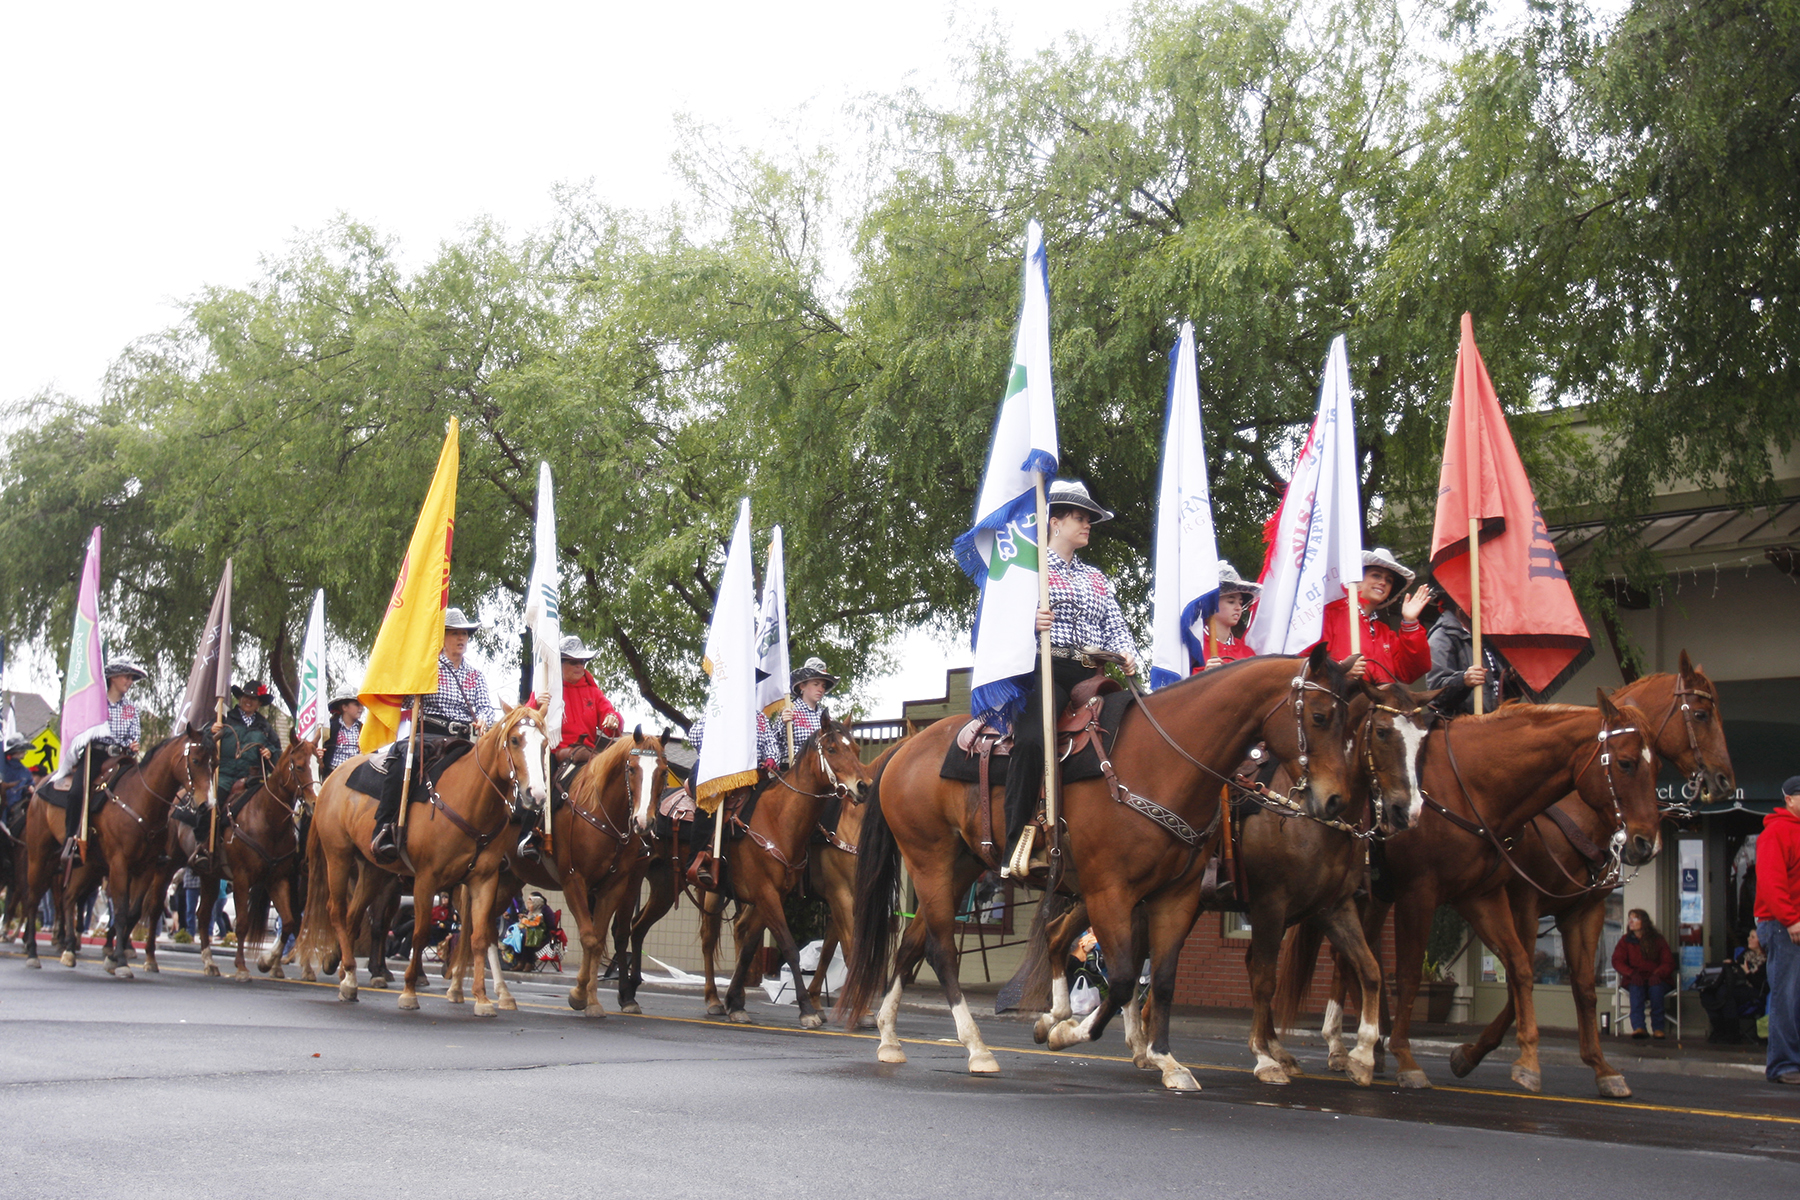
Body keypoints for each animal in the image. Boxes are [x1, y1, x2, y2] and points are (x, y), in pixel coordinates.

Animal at [17, 734, 214, 978]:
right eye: (195, 760)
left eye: (213, 762)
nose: (207, 804)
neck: (142, 800)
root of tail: (41, 786)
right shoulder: (119, 864)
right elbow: (120, 912)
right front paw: (120, 961)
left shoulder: (146, 868)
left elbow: (133, 912)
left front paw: (112, 957)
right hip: (39, 854)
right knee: (33, 898)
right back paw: (32, 953)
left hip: (84, 866)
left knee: (67, 898)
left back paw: (69, 950)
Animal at [298, 708, 547, 1021]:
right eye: (514, 740)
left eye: (544, 744)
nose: (536, 795)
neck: (471, 801)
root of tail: (331, 778)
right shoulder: (427, 879)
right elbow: (419, 934)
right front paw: (409, 992)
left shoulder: (484, 880)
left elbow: (479, 936)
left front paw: (482, 998)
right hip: (338, 855)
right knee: (336, 911)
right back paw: (350, 976)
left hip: (373, 870)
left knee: (354, 917)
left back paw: (347, 976)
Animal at [835, 647, 1353, 1086]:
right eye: (1321, 716)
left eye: (1351, 725)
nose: (1334, 801)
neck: (1163, 760)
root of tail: (903, 749)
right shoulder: (1111, 891)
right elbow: (1122, 979)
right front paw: (1066, 1031)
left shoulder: (1176, 896)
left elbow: (1162, 979)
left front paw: (1167, 1060)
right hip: (930, 861)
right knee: (941, 951)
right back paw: (977, 1048)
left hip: (959, 866)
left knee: (912, 944)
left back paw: (889, 1037)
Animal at [1310, 690, 1656, 1093]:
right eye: (1626, 763)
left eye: (1657, 766)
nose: (1646, 843)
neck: (1472, 791)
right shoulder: (1425, 895)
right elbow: (1410, 975)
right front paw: (1408, 1059)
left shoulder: (1490, 898)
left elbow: (1530, 970)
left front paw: (1550, 1062)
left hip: (1370, 898)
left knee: (1348, 959)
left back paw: (1355, 1051)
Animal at [1432, 658, 1728, 1101]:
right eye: (1701, 713)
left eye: (1655, 766)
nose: (1725, 780)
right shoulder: (1524, 903)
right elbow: (1520, 978)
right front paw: (1492, 1055)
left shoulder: (1582, 909)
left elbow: (1584, 985)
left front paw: (1601, 1067)